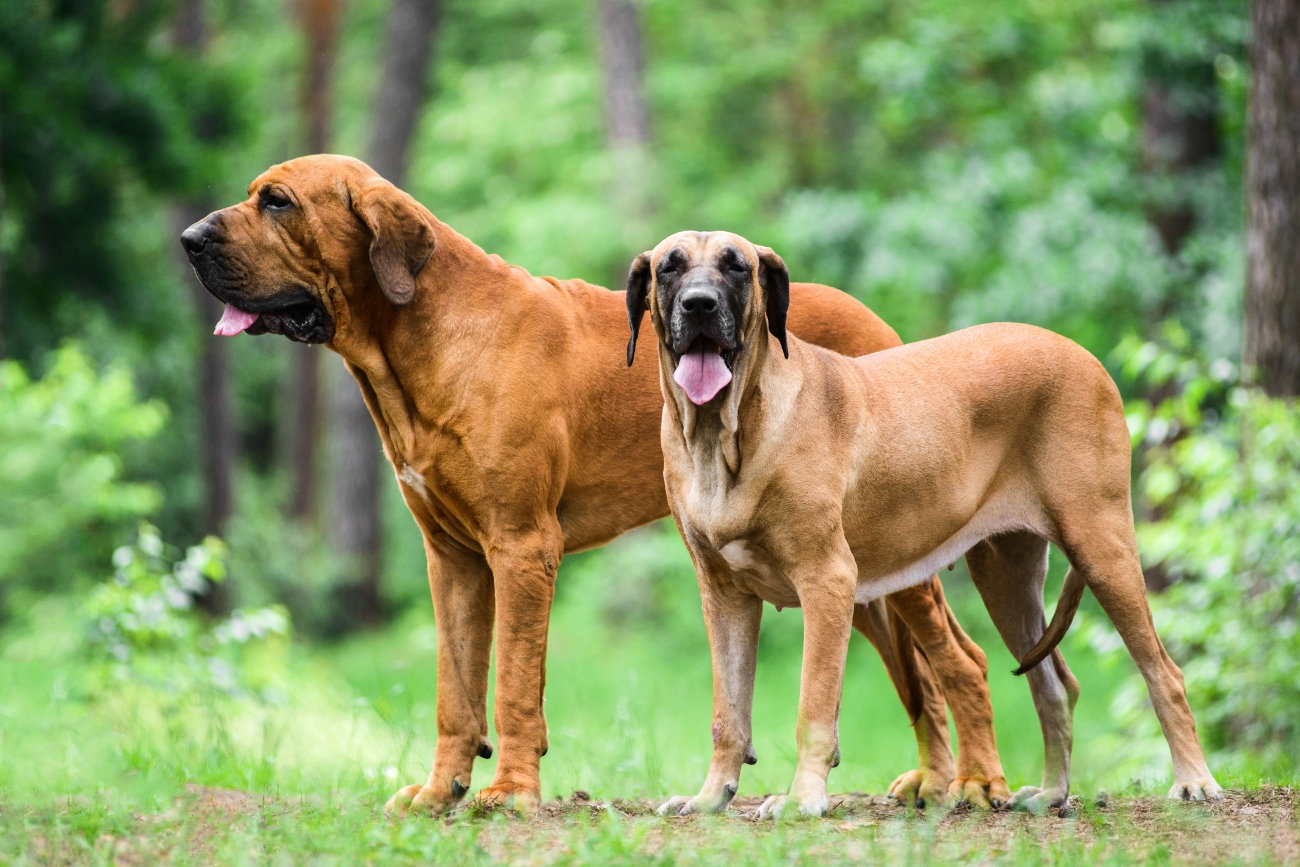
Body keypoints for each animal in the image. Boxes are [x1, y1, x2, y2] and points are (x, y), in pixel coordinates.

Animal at [175, 157, 1003, 821]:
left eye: (277, 201)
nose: (186, 238)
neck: (424, 336)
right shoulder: (453, 559)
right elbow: (454, 691)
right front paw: (440, 790)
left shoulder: (521, 547)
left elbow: (513, 681)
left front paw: (509, 791)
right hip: (862, 576)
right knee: (921, 673)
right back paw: (934, 779)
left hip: (886, 559)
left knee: (959, 659)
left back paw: (975, 784)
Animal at [634, 228, 1222, 816]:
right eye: (670, 268)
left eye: (736, 267)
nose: (700, 305)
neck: (723, 435)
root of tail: (1083, 354)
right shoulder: (724, 595)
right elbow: (727, 714)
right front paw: (710, 796)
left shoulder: (827, 581)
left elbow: (814, 707)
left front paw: (802, 799)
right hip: (1007, 580)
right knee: (1054, 683)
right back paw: (1052, 792)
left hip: (1102, 547)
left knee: (1164, 672)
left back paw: (1194, 781)